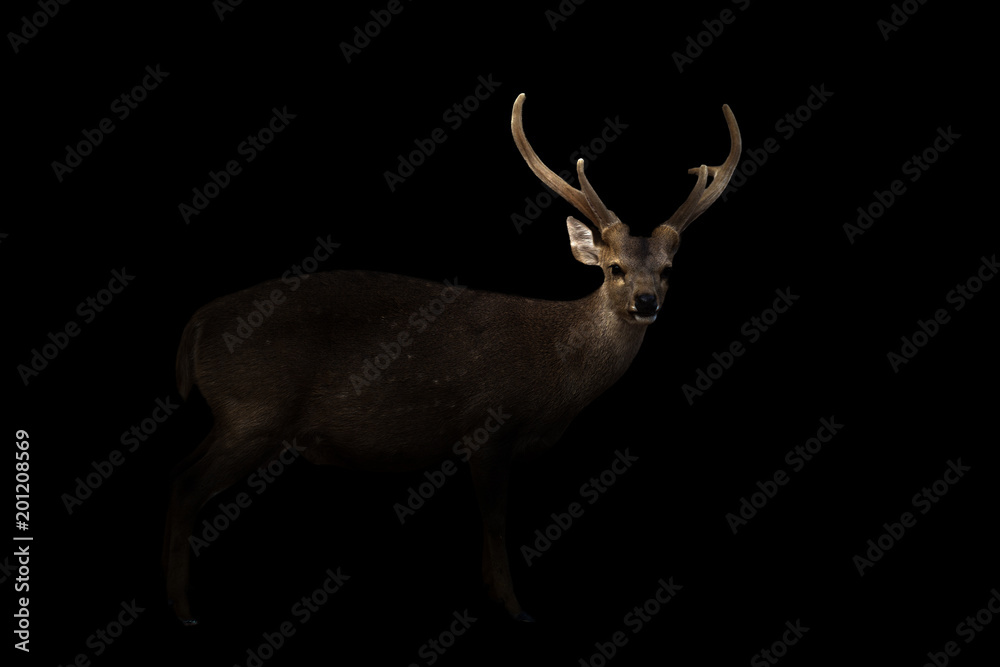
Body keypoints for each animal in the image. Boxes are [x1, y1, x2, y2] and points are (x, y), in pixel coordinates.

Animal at [163, 92, 741, 625]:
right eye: (614, 267)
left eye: (667, 270)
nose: (646, 302)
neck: (558, 383)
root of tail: (195, 326)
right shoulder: (489, 426)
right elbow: (495, 522)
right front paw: (515, 608)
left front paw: (494, 596)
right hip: (253, 411)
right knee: (187, 485)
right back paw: (183, 610)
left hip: (238, 417)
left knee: (180, 474)